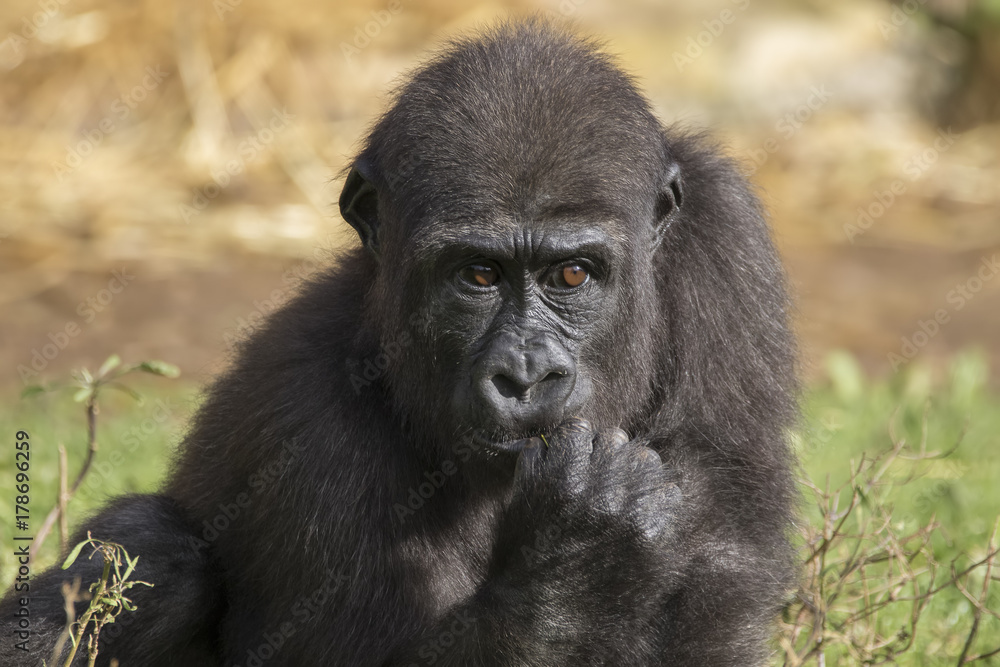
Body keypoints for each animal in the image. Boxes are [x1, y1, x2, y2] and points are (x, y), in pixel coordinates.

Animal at [0, 19, 796, 667]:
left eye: (573, 273)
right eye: (477, 275)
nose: (525, 376)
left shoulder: (724, 229)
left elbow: (720, 573)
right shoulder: (301, 412)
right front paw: (580, 563)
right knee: (156, 555)